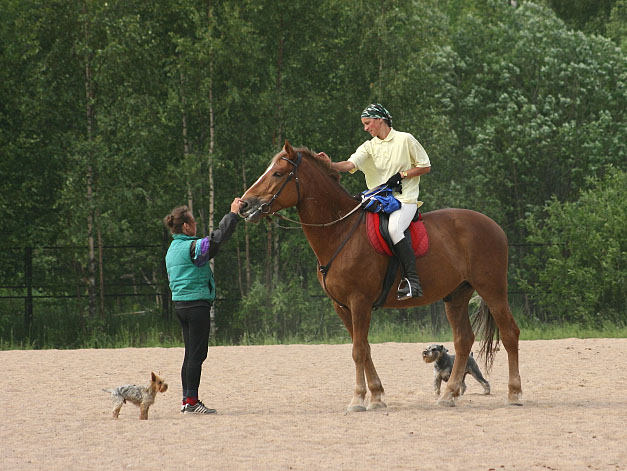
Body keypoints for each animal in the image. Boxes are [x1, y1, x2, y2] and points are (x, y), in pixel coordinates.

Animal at [238, 142, 524, 412]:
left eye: (277, 173)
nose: (244, 205)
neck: (340, 232)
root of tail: (494, 226)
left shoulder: (359, 302)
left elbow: (358, 350)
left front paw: (358, 399)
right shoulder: (342, 306)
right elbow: (364, 348)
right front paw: (376, 396)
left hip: (492, 289)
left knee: (509, 333)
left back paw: (515, 393)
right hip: (456, 295)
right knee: (463, 340)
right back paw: (449, 395)